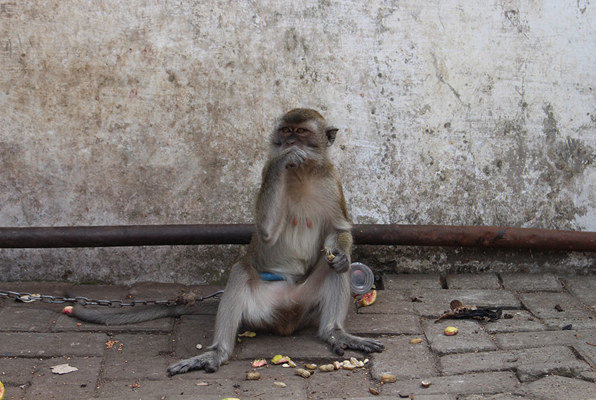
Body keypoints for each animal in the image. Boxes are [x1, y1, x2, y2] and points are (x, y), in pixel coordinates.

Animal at [65, 108, 384, 374]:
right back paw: (218, 352)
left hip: (306, 305)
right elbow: (267, 232)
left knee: (333, 269)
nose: (289, 142)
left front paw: (341, 255)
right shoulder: (268, 172)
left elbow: (338, 231)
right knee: (241, 270)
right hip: (260, 308)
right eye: (285, 131)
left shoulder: (332, 182)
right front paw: (284, 159)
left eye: (301, 132)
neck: (303, 174)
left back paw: (335, 331)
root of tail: (288, 318)